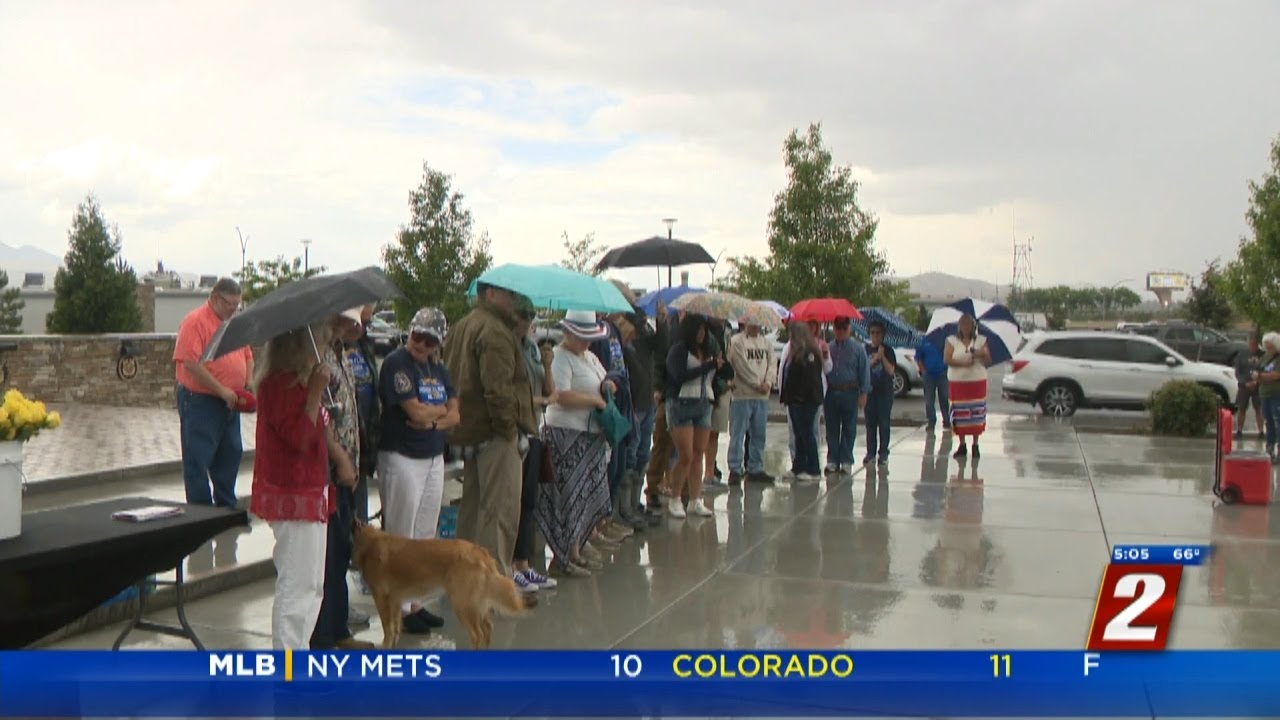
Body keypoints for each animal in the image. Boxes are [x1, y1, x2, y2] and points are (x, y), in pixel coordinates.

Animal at [350, 517, 529, 648]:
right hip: (475, 603)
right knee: (487, 628)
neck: (368, 542)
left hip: (462, 603)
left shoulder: (382, 598)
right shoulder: (395, 600)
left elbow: (388, 629)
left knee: (477, 634)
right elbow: (394, 630)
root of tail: (480, 552)